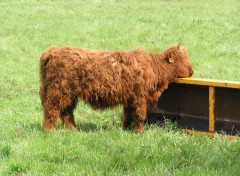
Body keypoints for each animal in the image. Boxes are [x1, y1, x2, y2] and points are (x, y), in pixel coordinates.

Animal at [39, 44, 193, 132]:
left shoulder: (130, 98)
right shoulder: (140, 98)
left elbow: (128, 115)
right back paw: (49, 131)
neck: (154, 68)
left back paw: (73, 130)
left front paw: (126, 129)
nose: (192, 71)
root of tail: (52, 51)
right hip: (58, 90)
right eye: (181, 59)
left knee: (66, 112)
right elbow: (140, 116)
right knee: (52, 109)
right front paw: (139, 132)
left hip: (69, 93)